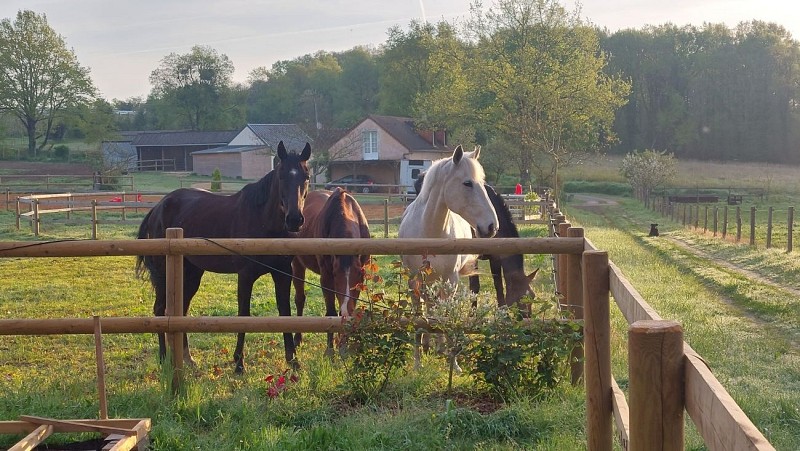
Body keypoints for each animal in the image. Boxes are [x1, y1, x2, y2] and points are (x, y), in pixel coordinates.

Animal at [136, 141, 311, 374]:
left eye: (306, 177)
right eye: (281, 175)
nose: (294, 220)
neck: (263, 221)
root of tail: (157, 207)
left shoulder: (283, 273)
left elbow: (285, 312)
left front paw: (293, 360)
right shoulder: (245, 275)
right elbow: (243, 314)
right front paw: (239, 362)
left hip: (191, 273)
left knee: (181, 309)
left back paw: (187, 358)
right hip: (164, 273)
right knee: (159, 309)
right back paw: (164, 357)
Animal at [291, 188, 371, 355]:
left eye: (359, 275)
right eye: (334, 274)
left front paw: (344, 346)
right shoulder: (327, 278)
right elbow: (331, 313)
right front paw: (330, 350)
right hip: (297, 265)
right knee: (300, 299)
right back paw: (297, 339)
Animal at [399, 145, 498, 370]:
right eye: (467, 183)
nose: (491, 226)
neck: (429, 232)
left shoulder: (450, 281)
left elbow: (446, 316)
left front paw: (453, 363)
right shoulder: (414, 282)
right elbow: (419, 318)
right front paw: (417, 363)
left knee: (437, 308)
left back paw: (439, 347)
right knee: (430, 308)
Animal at [413, 175, 539, 313]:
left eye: (533, 297)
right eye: (521, 299)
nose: (528, 317)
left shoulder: (495, 258)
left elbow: (498, 286)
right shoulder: (475, 258)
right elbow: (476, 287)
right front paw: (474, 313)